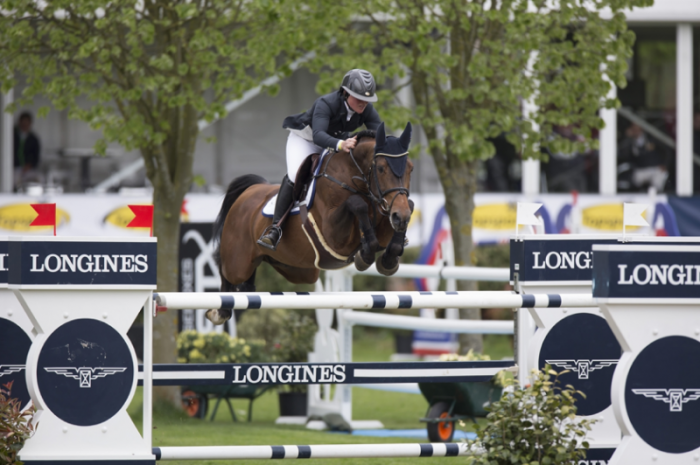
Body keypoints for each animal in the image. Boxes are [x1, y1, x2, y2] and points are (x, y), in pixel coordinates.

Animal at [209, 124, 416, 326]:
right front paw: (365, 255)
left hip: (297, 269)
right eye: (380, 168)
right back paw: (220, 311)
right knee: (225, 268)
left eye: (411, 169)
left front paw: (388, 260)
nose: (400, 216)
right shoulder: (334, 237)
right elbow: (357, 204)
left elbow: (408, 208)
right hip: (238, 262)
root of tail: (250, 190)